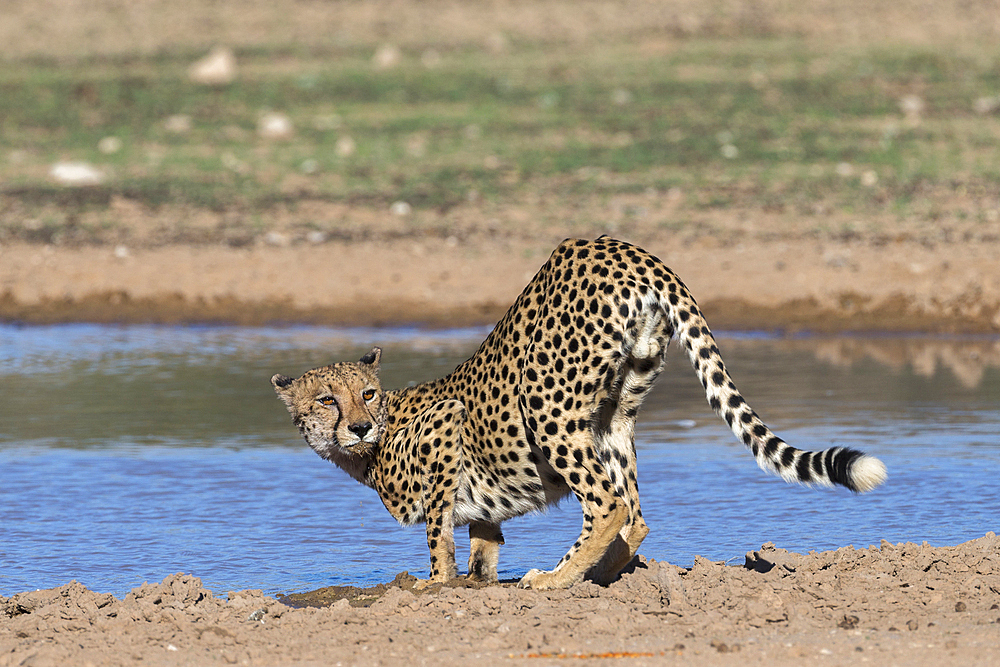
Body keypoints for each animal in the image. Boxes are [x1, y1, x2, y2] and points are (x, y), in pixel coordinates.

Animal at [270, 237, 888, 592]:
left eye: (366, 394)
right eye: (326, 399)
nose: (359, 426)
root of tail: (615, 245)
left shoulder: (447, 429)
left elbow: (437, 532)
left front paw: (431, 585)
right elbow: (482, 542)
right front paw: (475, 579)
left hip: (545, 404)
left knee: (608, 504)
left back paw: (556, 579)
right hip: (611, 414)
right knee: (634, 513)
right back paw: (603, 576)